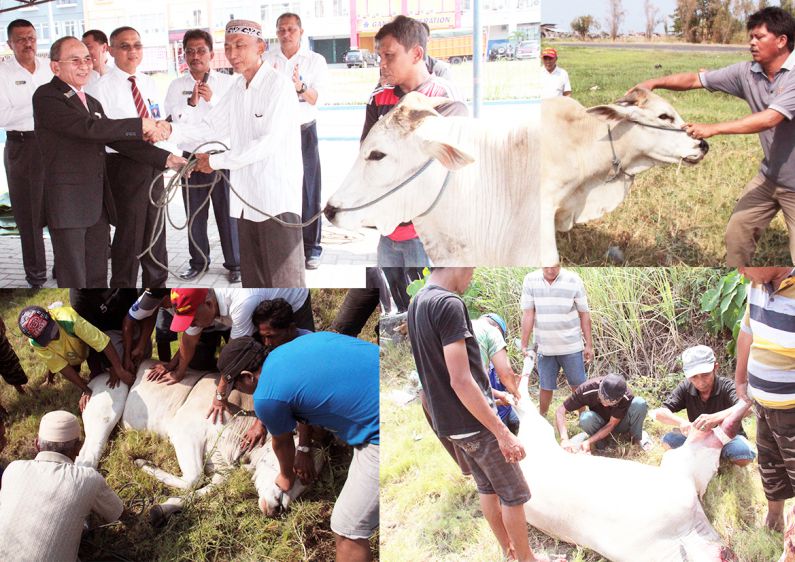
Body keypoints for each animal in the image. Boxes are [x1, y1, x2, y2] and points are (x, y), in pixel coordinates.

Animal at [74, 358, 322, 520]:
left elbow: (206, 489)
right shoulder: (185, 432)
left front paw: (164, 507)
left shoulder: (223, 467)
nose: (280, 509)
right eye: (296, 471)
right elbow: (194, 478)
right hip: (107, 409)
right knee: (88, 454)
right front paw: (144, 464)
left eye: (308, 485)